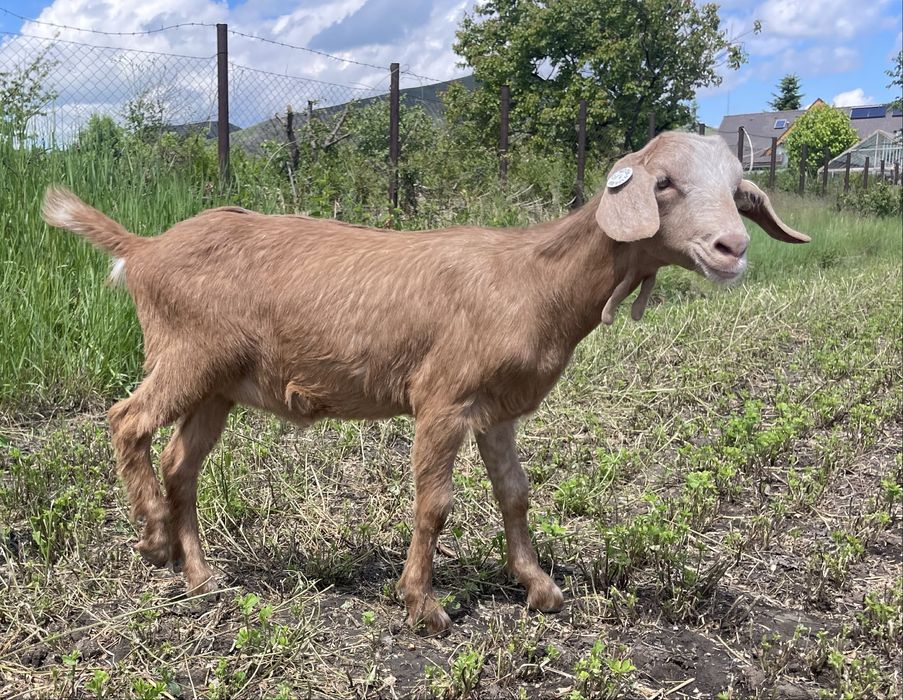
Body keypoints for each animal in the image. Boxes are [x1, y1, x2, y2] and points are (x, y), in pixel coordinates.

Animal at [42, 132, 809, 635]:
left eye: (737, 192)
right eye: (665, 184)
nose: (731, 248)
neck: (533, 280)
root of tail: (142, 249)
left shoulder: (498, 408)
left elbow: (515, 494)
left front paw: (540, 588)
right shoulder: (443, 398)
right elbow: (434, 505)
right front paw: (424, 607)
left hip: (219, 384)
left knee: (180, 463)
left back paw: (200, 575)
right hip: (187, 355)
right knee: (126, 419)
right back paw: (151, 538)